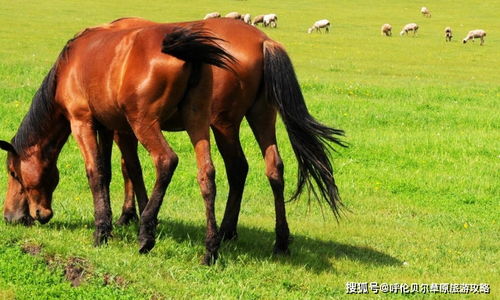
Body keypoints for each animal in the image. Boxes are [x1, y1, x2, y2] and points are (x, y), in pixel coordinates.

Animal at [0, 18, 344, 262]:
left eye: (14, 173)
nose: (11, 217)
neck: (71, 64)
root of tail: (264, 41)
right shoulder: (110, 126)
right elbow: (119, 170)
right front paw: (137, 215)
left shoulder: (85, 121)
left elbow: (101, 172)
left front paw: (110, 227)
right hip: (246, 118)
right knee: (260, 169)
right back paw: (255, 242)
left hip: (193, 124)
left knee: (184, 163)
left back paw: (165, 236)